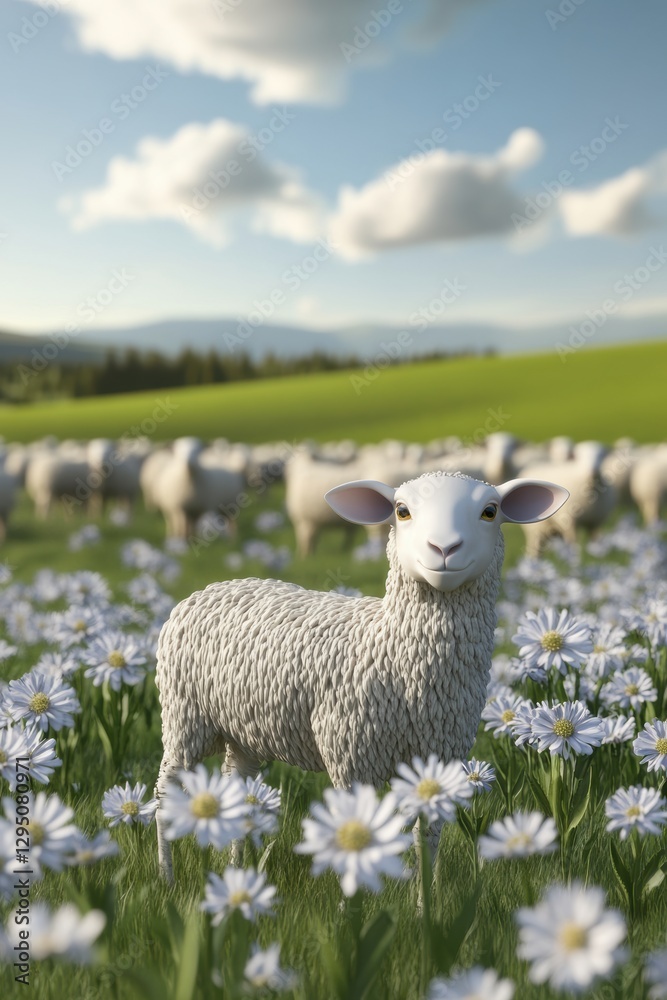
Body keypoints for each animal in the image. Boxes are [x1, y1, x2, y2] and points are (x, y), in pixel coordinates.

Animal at [154, 470, 568, 879]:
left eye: (490, 511)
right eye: (401, 511)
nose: (444, 548)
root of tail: (212, 587)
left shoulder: (439, 756)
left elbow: (427, 834)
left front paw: (426, 895)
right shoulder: (349, 753)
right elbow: (353, 825)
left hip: (243, 731)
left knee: (236, 793)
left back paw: (235, 871)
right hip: (184, 716)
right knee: (164, 792)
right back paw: (168, 879)